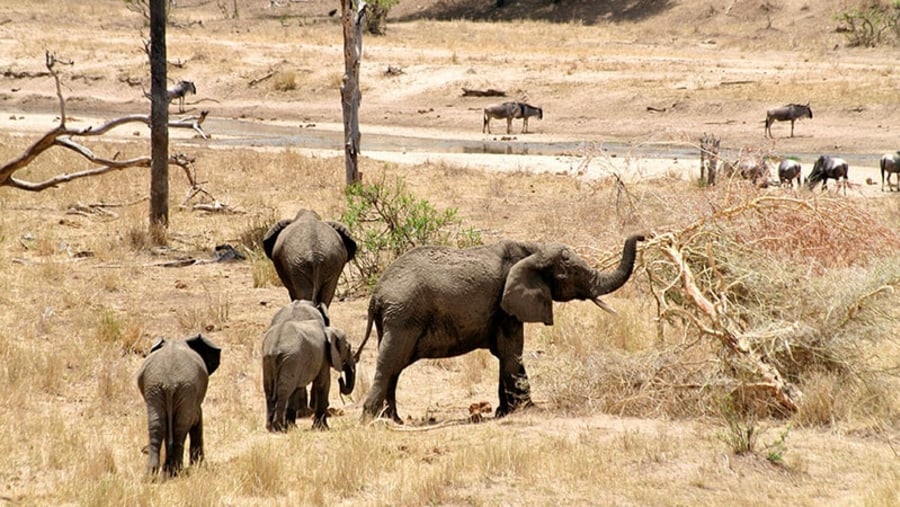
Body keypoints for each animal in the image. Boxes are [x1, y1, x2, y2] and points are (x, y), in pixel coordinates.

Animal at [136, 336, 222, 478]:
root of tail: (169, 384)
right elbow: (197, 420)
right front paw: (198, 466)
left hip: (155, 389)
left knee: (157, 426)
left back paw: (152, 475)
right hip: (185, 389)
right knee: (180, 428)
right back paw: (176, 471)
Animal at [260, 300, 356, 430]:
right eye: (349, 348)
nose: (340, 380)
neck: (329, 331)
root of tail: (275, 347)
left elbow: (298, 388)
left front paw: (293, 426)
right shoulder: (323, 356)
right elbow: (323, 384)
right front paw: (322, 428)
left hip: (268, 360)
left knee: (270, 391)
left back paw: (272, 427)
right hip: (289, 360)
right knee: (283, 391)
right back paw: (279, 428)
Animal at [356, 236, 644, 422]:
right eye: (571, 274)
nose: (642, 235)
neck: (534, 249)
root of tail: (376, 295)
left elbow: (505, 354)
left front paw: (503, 412)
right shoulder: (506, 306)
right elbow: (512, 351)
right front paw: (525, 411)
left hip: (395, 318)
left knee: (394, 366)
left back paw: (393, 420)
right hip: (403, 317)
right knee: (390, 363)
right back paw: (370, 420)